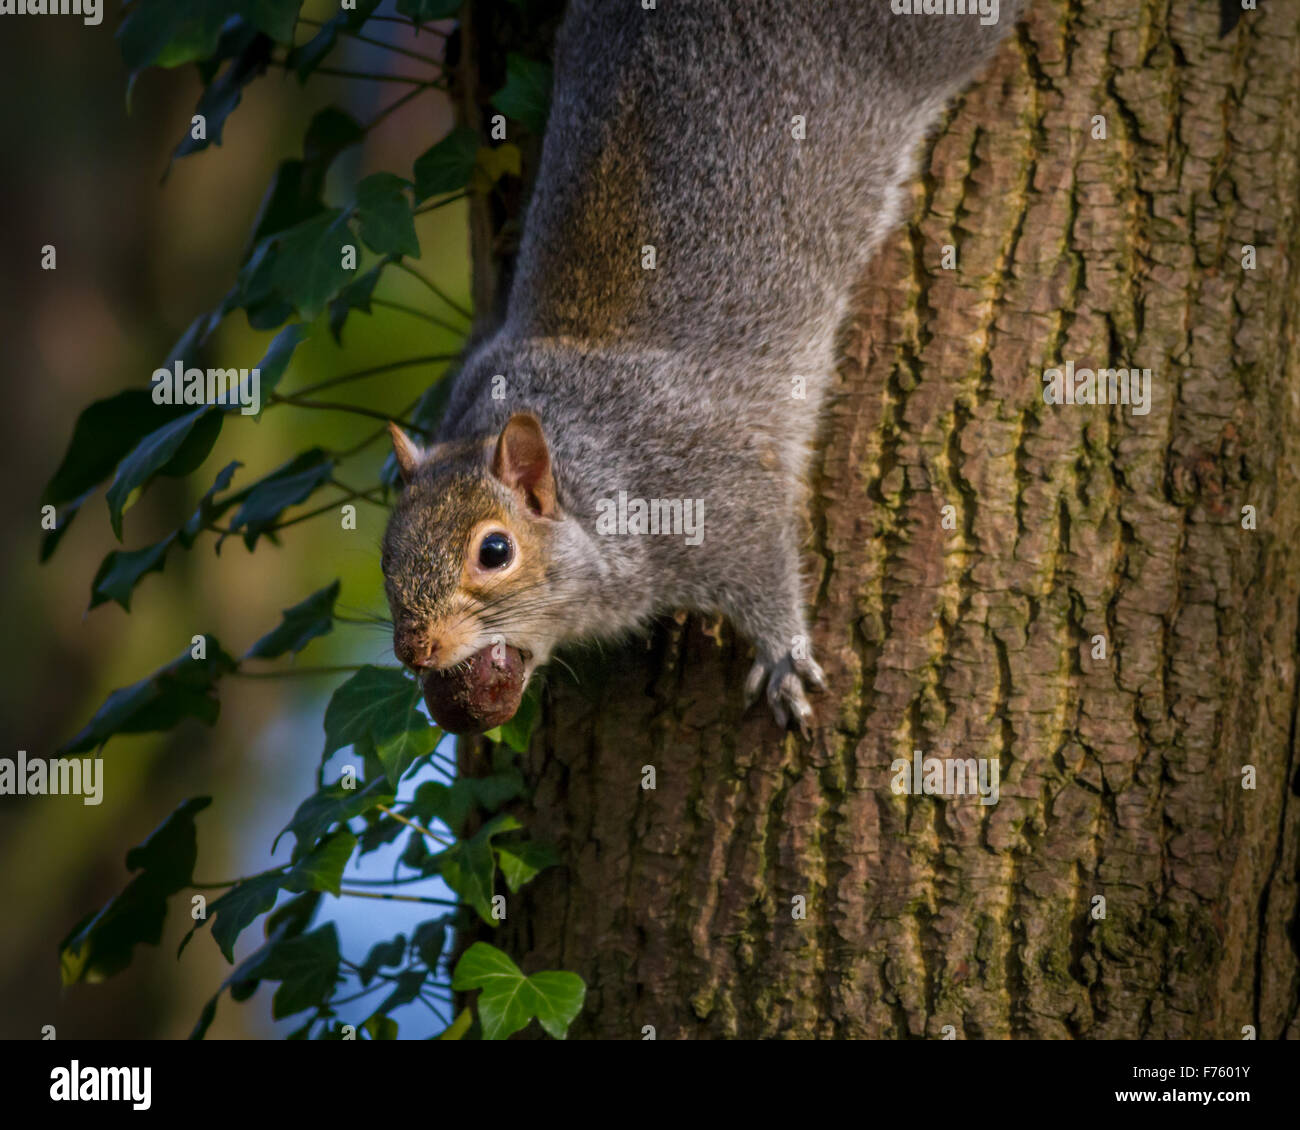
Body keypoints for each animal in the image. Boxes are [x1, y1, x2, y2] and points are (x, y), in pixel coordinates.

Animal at [382, 0, 1024, 737]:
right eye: (386, 553)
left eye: (494, 552)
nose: (416, 649)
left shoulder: (710, 489)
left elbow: (764, 562)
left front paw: (784, 657)